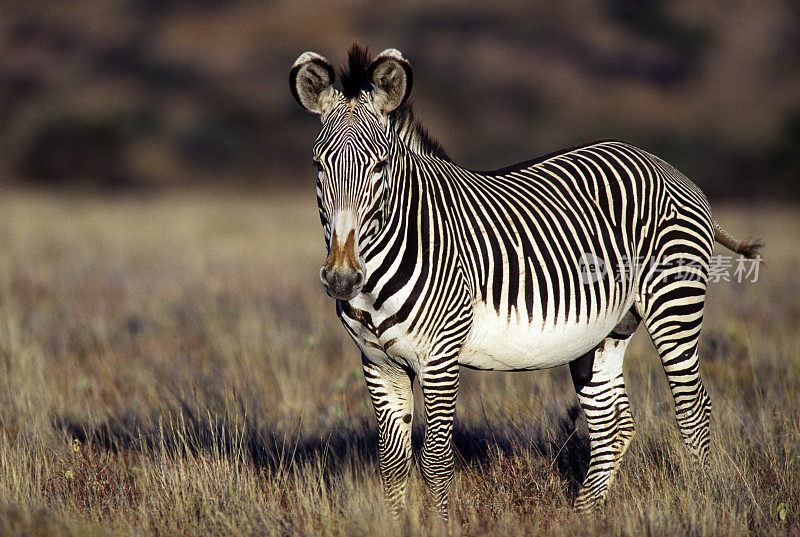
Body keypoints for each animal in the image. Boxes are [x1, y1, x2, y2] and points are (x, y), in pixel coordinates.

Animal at [288, 44, 756, 512]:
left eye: (379, 166)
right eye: (317, 165)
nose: (342, 277)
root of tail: (662, 163)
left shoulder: (440, 356)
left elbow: (436, 461)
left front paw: (437, 521)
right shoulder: (378, 362)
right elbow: (392, 464)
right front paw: (397, 520)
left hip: (675, 301)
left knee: (693, 411)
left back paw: (703, 502)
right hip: (603, 330)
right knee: (613, 425)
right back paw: (584, 517)